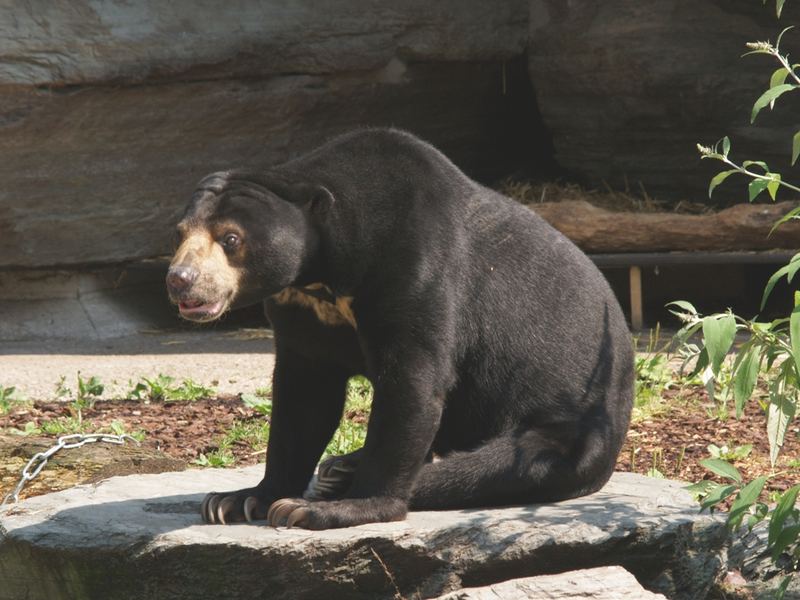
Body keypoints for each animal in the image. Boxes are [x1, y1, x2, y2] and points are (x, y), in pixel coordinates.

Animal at [166, 130, 636, 528]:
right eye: (181, 233)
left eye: (230, 238)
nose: (179, 279)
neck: (325, 274)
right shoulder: (301, 309)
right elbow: (303, 398)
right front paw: (238, 500)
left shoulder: (417, 267)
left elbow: (413, 384)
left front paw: (330, 509)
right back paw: (339, 467)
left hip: (568, 428)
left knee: (495, 467)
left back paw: (337, 481)